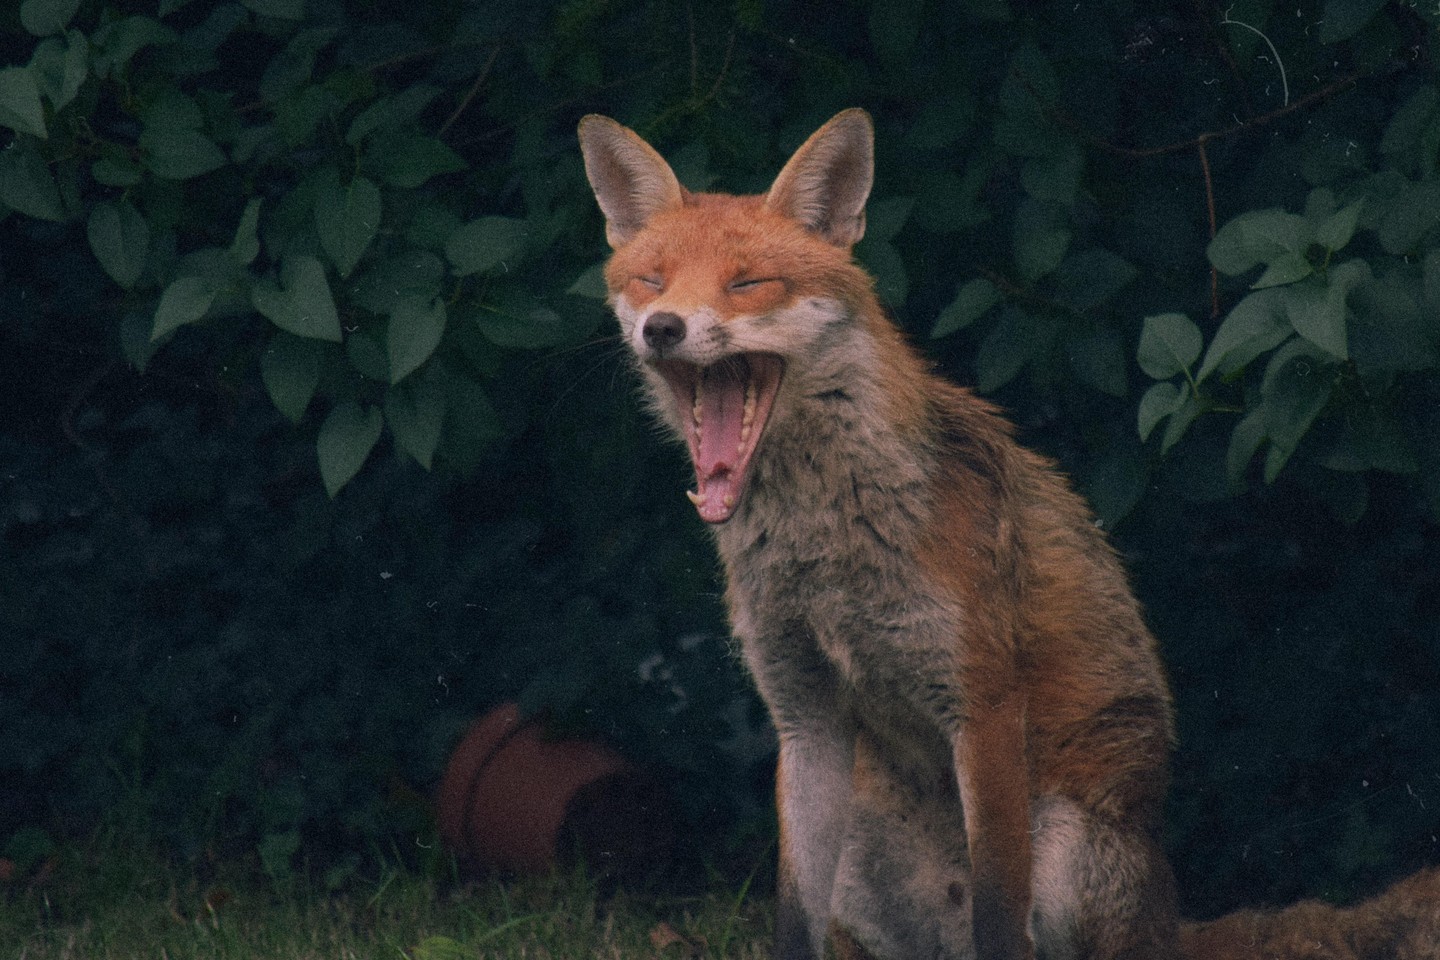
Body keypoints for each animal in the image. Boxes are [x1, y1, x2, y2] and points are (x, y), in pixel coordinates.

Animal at [577, 109, 1439, 960]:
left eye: (748, 283)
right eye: (651, 281)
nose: (662, 328)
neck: (824, 548)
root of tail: (1169, 926)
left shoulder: (982, 702)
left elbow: (998, 911)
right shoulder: (805, 718)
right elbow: (792, 919)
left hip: (1061, 845)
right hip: (861, 853)